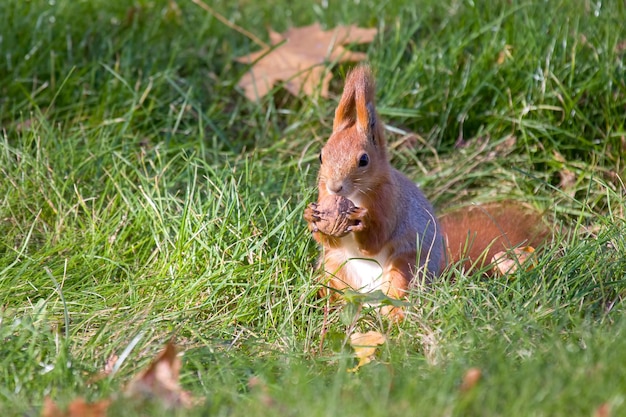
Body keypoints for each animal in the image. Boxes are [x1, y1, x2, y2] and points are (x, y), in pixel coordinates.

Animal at [304, 64, 544, 306]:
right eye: (321, 156)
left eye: (364, 160)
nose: (335, 187)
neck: (354, 195)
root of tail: (367, 298)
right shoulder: (324, 195)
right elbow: (330, 240)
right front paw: (310, 215)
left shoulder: (389, 201)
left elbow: (375, 240)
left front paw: (361, 220)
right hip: (334, 266)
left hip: (406, 265)